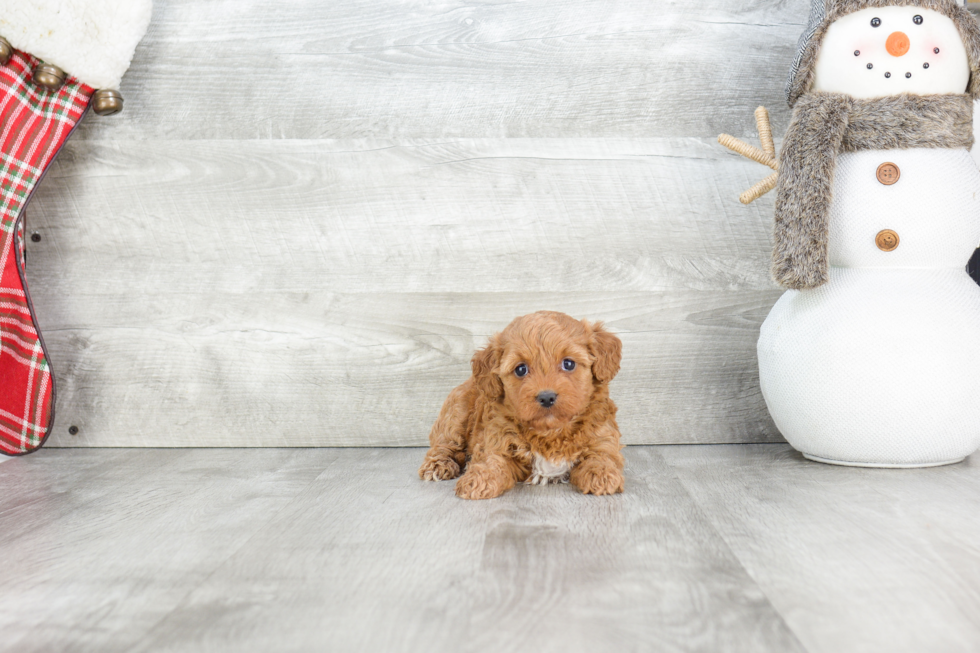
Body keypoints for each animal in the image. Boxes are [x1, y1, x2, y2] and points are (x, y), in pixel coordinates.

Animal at [418, 310, 624, 500]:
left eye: (569, 364)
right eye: (521, 369)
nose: (547, 397)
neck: (550, 432)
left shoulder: (602, 434)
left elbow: (602, 454)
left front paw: (602, 474)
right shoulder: (495, 438)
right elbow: (491, 460)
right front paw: (479, 479)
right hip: (455, 413)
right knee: (444, 444)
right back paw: (438, 465)